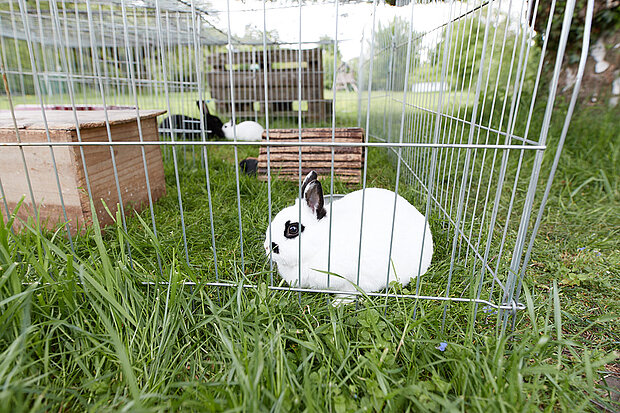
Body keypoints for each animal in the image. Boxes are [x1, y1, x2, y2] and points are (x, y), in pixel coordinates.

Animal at [264, 169, 434, 298]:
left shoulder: (354, 281)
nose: (267, 247)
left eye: (293, 229)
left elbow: (350, 293)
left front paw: (337, 304)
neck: (322, 243)